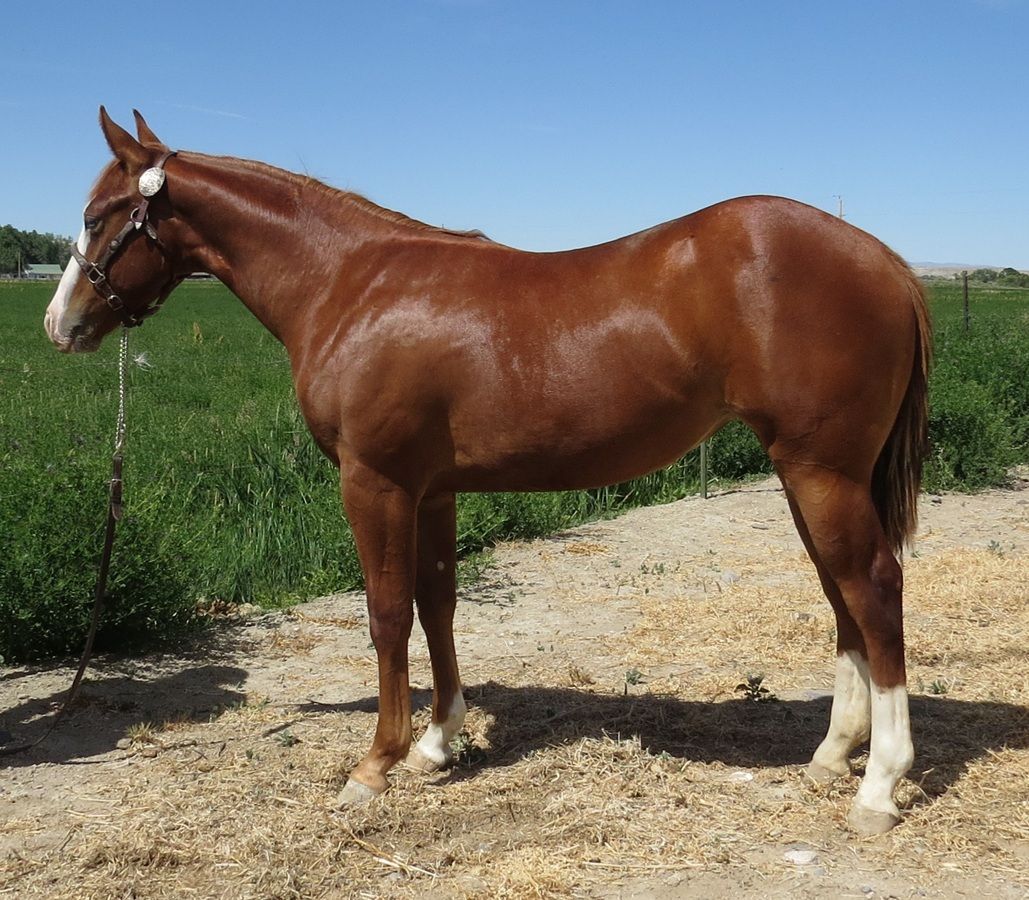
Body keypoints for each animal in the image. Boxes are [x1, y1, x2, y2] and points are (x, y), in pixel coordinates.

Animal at [44, 108, 931, 834]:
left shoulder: (374, 483)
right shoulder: (433, 491)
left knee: (873, 588)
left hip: (821, 474)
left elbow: (387, 616)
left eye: (94, 217)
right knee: (842, 598)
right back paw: (830, 758)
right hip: (808, 477)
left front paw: (374, 766)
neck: (351, 282)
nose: (61, 325)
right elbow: (437, 605)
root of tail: (883, 259)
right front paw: (439, 741)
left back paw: (878, 786)